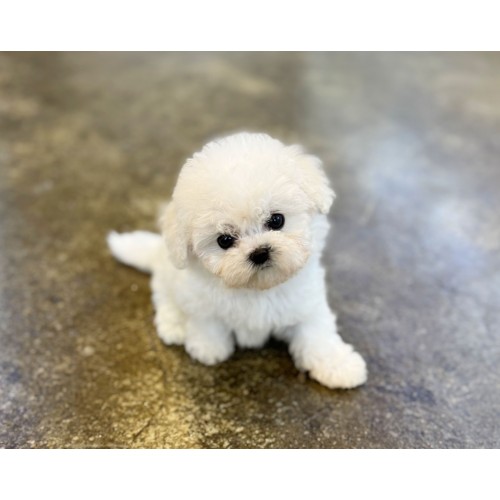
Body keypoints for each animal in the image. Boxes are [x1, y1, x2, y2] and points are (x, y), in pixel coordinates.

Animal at [107, 132, 367, 389]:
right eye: (224, 240)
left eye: (277, 220)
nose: (260, 252)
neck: (257, 289)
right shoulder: (199, 298)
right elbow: (206, 321)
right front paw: (208, 348)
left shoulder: (306, 304)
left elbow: (317, 335)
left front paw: (339, 366)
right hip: (170, 274)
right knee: (163, 295)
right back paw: (174, 324)